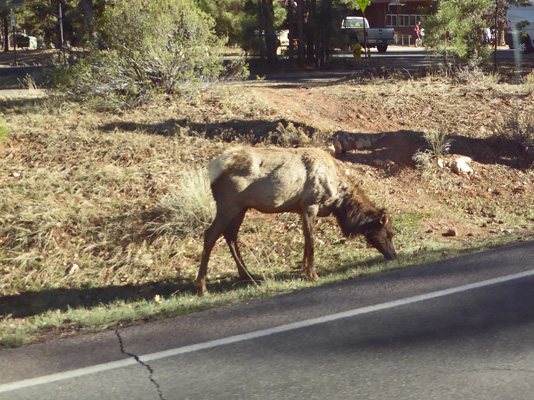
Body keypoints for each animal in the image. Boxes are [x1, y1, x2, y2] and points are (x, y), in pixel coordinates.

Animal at [195, 146, 396, 294]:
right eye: (388, 233)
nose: (393, 255)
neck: (338, 200)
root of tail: (211, 169)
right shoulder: (310, 203)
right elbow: (312, 239)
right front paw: (313, 274)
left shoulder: (301, 208)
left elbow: (305, 239)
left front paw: (304, 266)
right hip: (228, 204)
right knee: (210, 235)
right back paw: (202, 286)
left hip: (240, 208)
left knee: (231, 235)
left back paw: (247, 275)